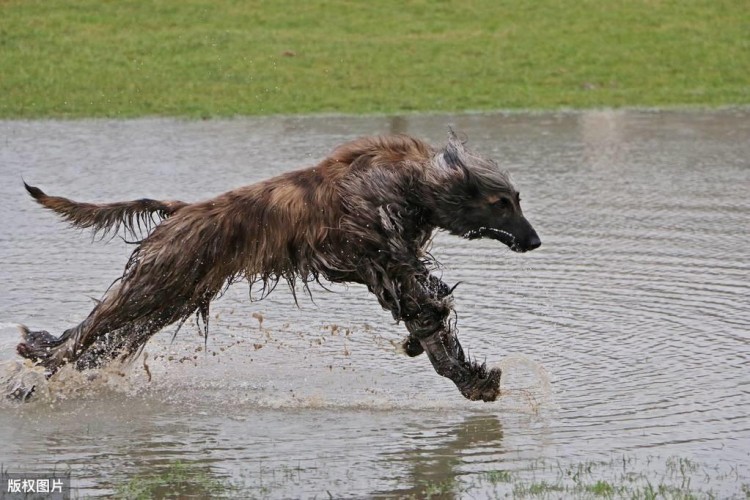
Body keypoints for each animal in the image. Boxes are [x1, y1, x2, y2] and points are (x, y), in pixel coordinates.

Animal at [16, 130, 540, 402]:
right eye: (501, 203)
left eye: (517, 199)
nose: (534, 241)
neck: (409, 181)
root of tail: (180, 211)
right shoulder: (382, 259)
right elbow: (429, 310)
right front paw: (466, 373)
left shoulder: (389, 268)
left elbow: (428, 319)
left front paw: (466, 375)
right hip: (154, 284)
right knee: (86, 331)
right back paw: (35, 364)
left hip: (171, 297)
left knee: (105, 342)